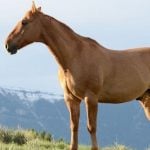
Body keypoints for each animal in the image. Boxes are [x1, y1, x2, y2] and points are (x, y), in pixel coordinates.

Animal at [4, 2, 150, 150]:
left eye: (24, 22)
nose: (7, 44)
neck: (75, 57)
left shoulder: (90, 98)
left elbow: (91, 127)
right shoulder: (71, 99)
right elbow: (74, 127)